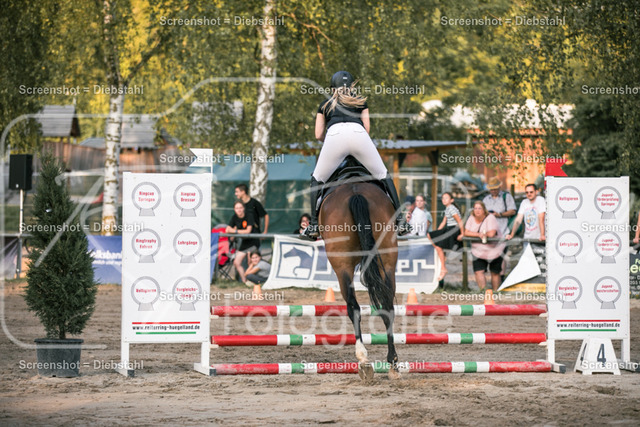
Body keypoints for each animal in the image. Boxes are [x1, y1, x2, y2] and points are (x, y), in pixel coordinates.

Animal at [318, 179, 400, 380]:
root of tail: (355, 192)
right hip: (387, 260)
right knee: (388, 306)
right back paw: (393, 364)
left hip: (341, 265)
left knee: (353, 307)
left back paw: (363, 359)